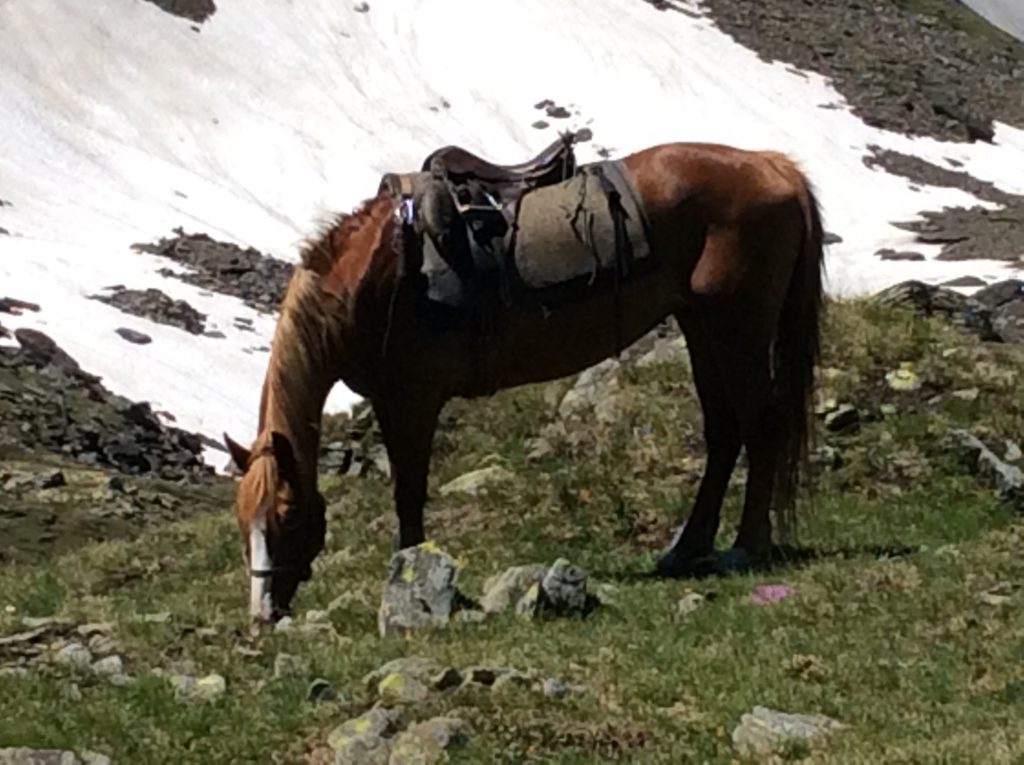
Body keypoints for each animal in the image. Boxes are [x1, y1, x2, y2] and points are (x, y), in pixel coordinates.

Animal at [222, 140, 823, 626]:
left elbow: (409, 494)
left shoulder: (413, 401)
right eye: (242, 520)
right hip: (701, 326)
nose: (261, 618)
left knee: (761, 425)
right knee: (723, 431)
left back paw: (746, 546)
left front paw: (409, 575)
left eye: (287, 516)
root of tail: (773, 166)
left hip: (739, 328)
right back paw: (687, 548)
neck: (375, 276)